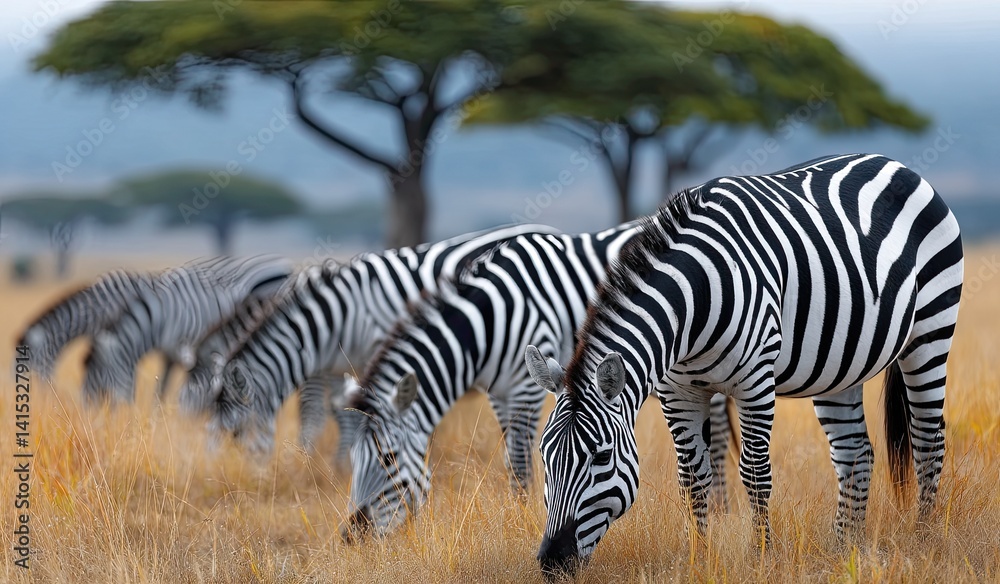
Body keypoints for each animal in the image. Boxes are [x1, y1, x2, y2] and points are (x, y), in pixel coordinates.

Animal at [82, 255, 293, 404]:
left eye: (94, 374)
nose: (87, 413)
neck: (159, 318)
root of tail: (283, 264)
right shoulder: (169, 354)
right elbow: (161, 390)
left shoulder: (185, 350)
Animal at [207, 224, 563, 455]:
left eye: (236, 433)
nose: (254, 482)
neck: (333, 321)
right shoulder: (333, 368)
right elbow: (332, 413)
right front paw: (332, 464)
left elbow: (325, 413)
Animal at [525, 153, 963, 575]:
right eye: (544, 456)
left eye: (601, 457)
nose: (552, 561)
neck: (694, 304)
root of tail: (895, 163)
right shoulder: (677, 392)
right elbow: (692, 477)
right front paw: (699, 558)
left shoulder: (754, 382)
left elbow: (754, 473)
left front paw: (762, 555)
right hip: (840, 367)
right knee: (855, 453)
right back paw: (845, 550)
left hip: (930, 331)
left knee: (928, 441)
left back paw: (923, 540)